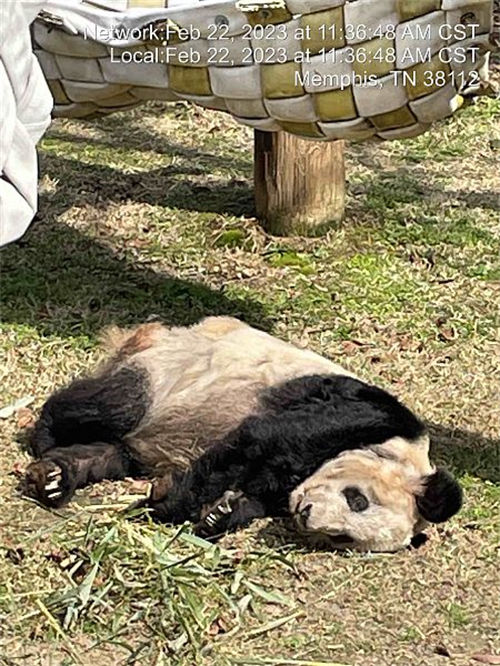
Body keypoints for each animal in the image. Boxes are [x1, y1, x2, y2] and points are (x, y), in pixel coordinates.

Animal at [24, 316, 463, 552]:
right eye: (358, 499)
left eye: (341, 538)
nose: (306, 516)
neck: (402, 451)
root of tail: (149, 333)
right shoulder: (361, 413)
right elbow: (260, 438)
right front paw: (168, 503)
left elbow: (256, 492)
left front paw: (219, 513)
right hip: (172, 371)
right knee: (112, 404)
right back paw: (46, 438)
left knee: (113, 451)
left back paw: (57, 476)